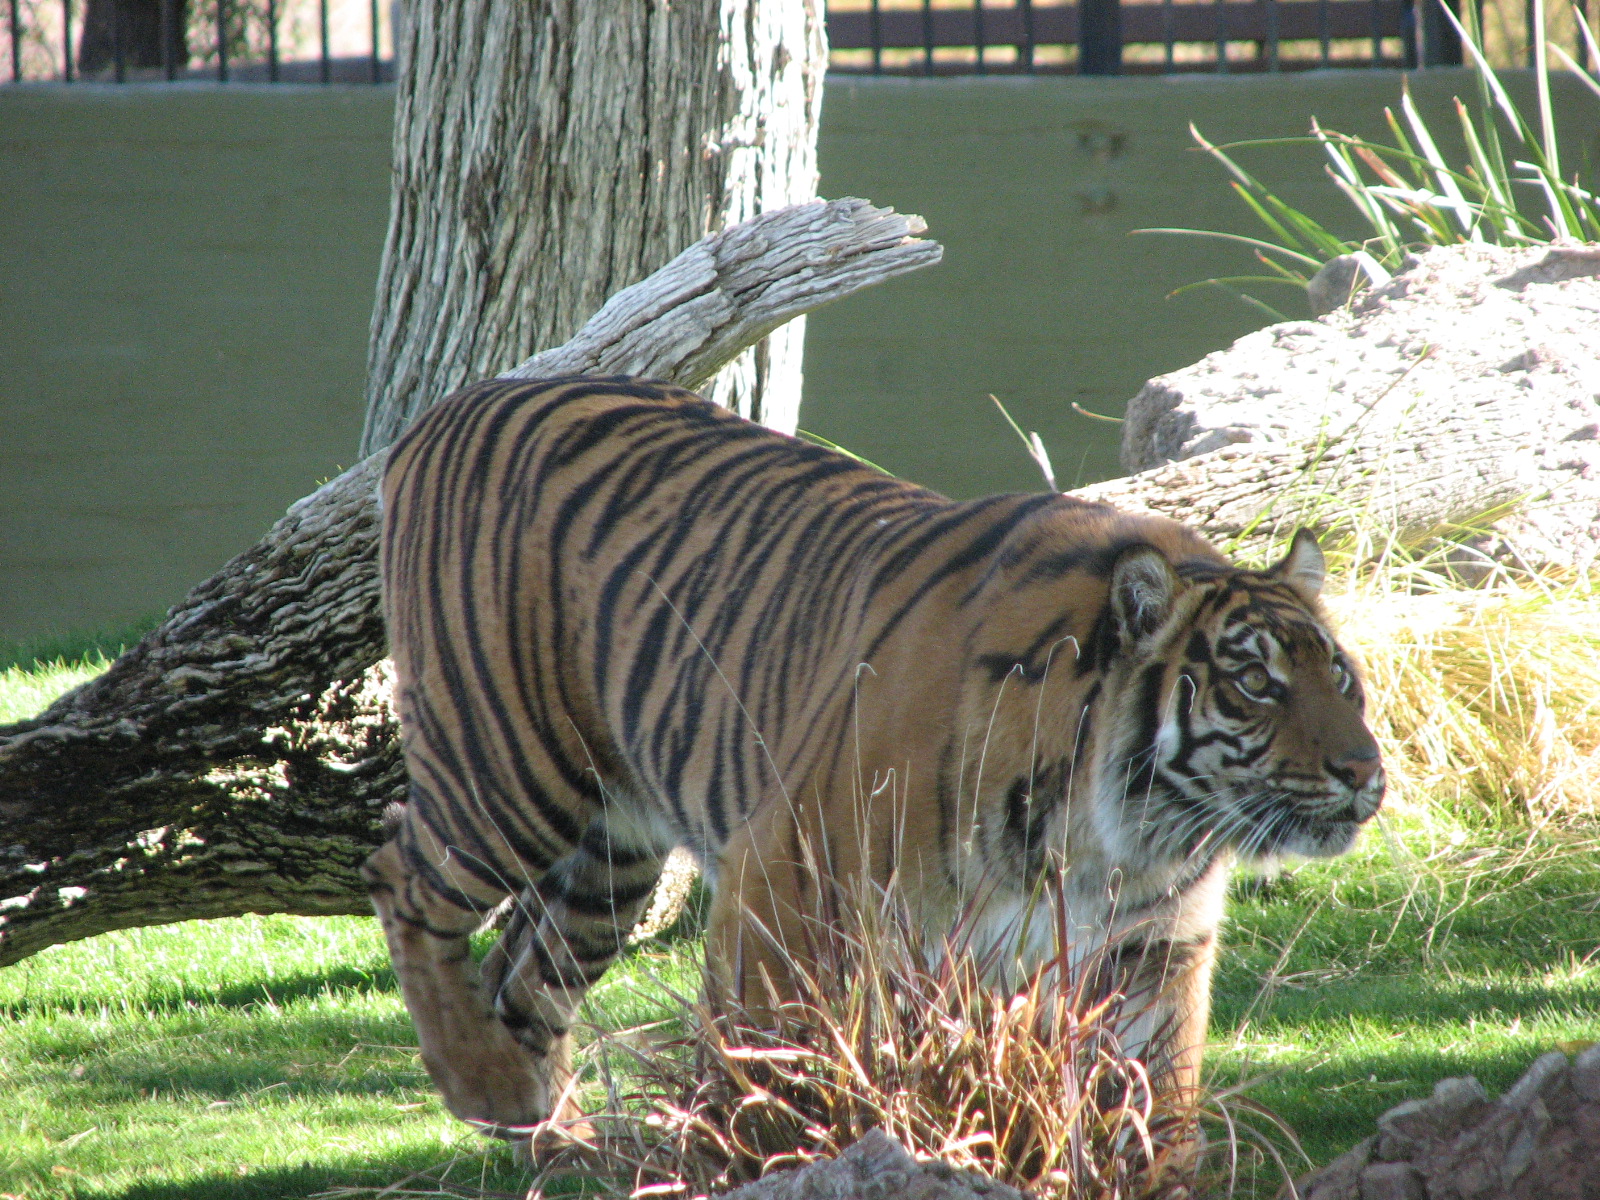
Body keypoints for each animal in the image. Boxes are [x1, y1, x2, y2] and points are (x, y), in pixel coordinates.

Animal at [362, 374, 1384, 1147]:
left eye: (1341, 677)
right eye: (1255, 684)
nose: (1365, 774)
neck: (1118, 834)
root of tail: (448, 409)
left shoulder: (1153, 946)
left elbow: (1158, 1099)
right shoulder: (781, 872)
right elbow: (755, 1057)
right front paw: (749, 1156)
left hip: (612, 857)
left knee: (524, 979)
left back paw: (554, 1137)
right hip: (512, 770)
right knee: (402, 875)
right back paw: (484, 1084)